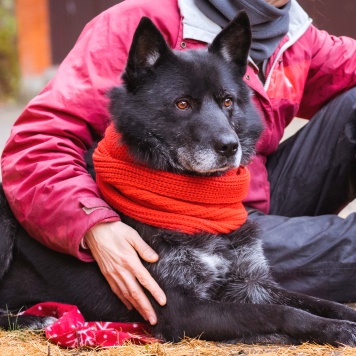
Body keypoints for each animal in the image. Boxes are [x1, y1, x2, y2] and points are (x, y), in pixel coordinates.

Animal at [1, 13, 356, 344]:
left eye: (228, 101)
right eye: (183, 104)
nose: (230, 146)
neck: (199, 205)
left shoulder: (251, 281)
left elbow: (317, 301)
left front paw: (343, 318)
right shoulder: (183, 309)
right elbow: (281, 312)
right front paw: (335, 329)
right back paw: (36, 319)